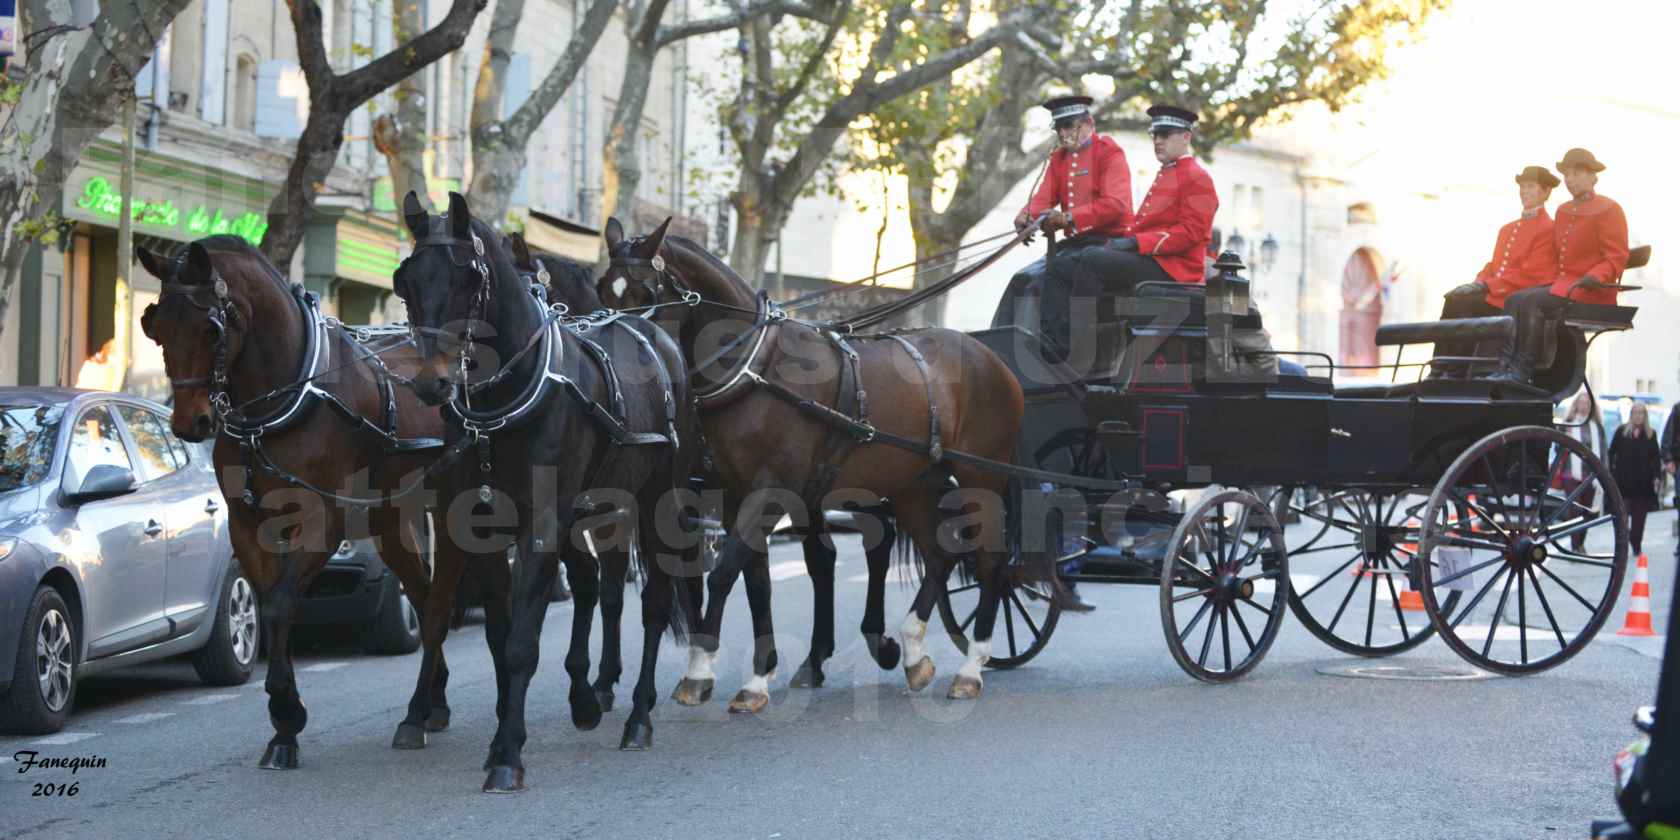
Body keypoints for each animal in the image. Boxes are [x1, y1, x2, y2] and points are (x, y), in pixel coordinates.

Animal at [136, 235, 480, 769]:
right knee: (424, 600)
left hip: (450, 513)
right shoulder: (248, 522)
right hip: (390, 519)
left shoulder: (323, 519)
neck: (282, 403)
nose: (189, 423)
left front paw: (287, 715)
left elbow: (280, 605)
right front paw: (283, 727)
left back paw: (417, 713)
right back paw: (432, 704)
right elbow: (271, 601)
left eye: (212, 328)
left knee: (441, 603)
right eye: (155, 326)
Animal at [396, 192, 698, 792]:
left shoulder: (542, 525)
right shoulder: (479, 527)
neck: (502, 407)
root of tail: (650, 335)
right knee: (597, 587)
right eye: (406, 281)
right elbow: (494, 630)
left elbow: (521, 643)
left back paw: (638, 716)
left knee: (652, 603)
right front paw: (498, 734)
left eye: (468, 277)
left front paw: (509, 754)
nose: (431, 383)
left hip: (656, 501)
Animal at [598, 220, 1028, 705]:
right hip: (913, 483)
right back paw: (913, 651)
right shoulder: (733, 496)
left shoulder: (771, 492)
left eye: (647, 293)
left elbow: (724, 572)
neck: (756, 369)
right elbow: (756, 579)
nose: (619, 363)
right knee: (941, 551)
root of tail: (990, 358)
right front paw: (758, 674)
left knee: (990, 561)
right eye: (603, 289)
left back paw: (971, 667)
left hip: (980, 477)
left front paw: (700, 669)